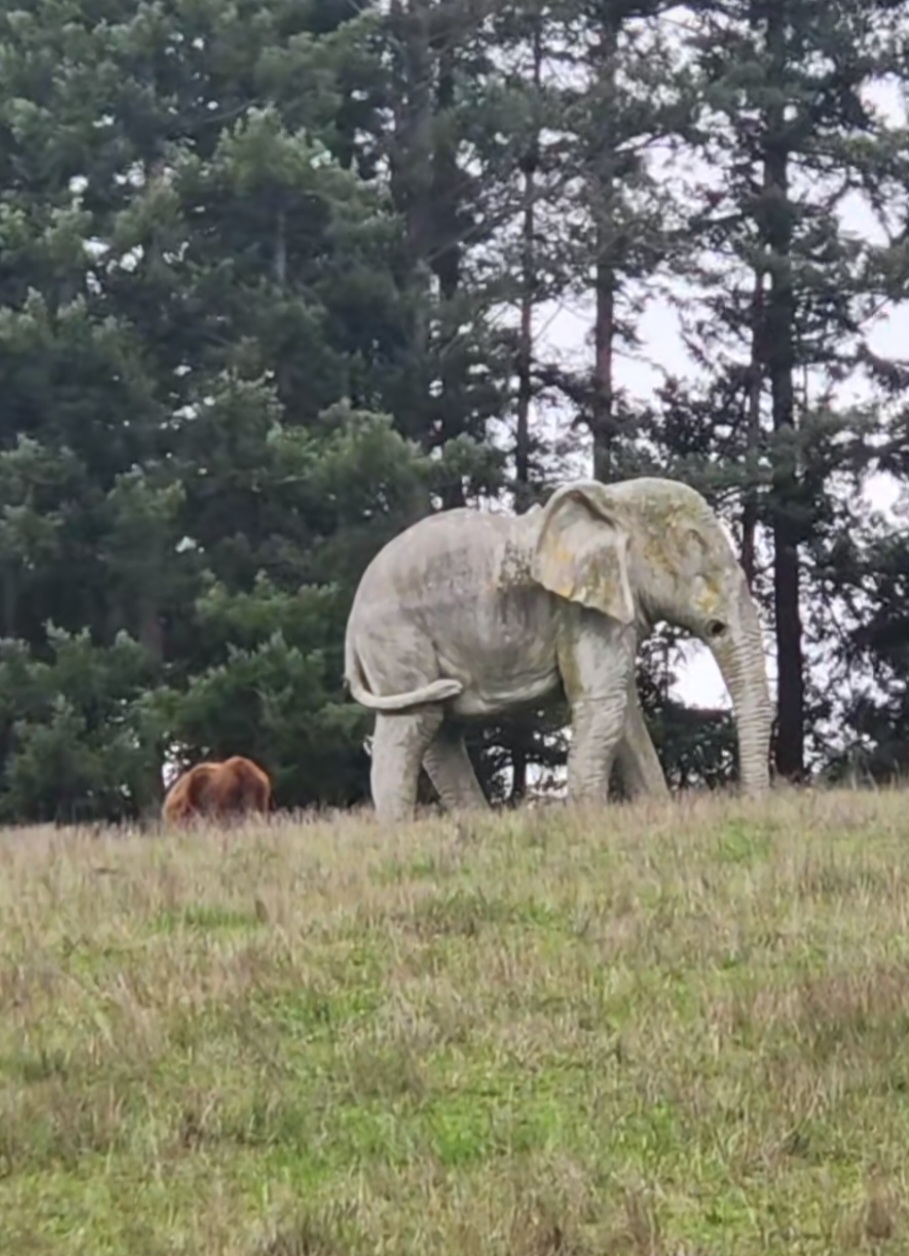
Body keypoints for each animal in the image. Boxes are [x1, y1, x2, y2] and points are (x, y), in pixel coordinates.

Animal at [343, 477, 773, 822]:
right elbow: (603, 704)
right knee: (417, 722)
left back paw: (477, 822)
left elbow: (623, 708)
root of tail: (351, 621)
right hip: (396, 640)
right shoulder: (582, 613)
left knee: (440, 732)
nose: (750, 806)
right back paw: (399, 832)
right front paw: (589, 822)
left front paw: (656, 811)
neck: (612, 499)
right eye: (692, 542)